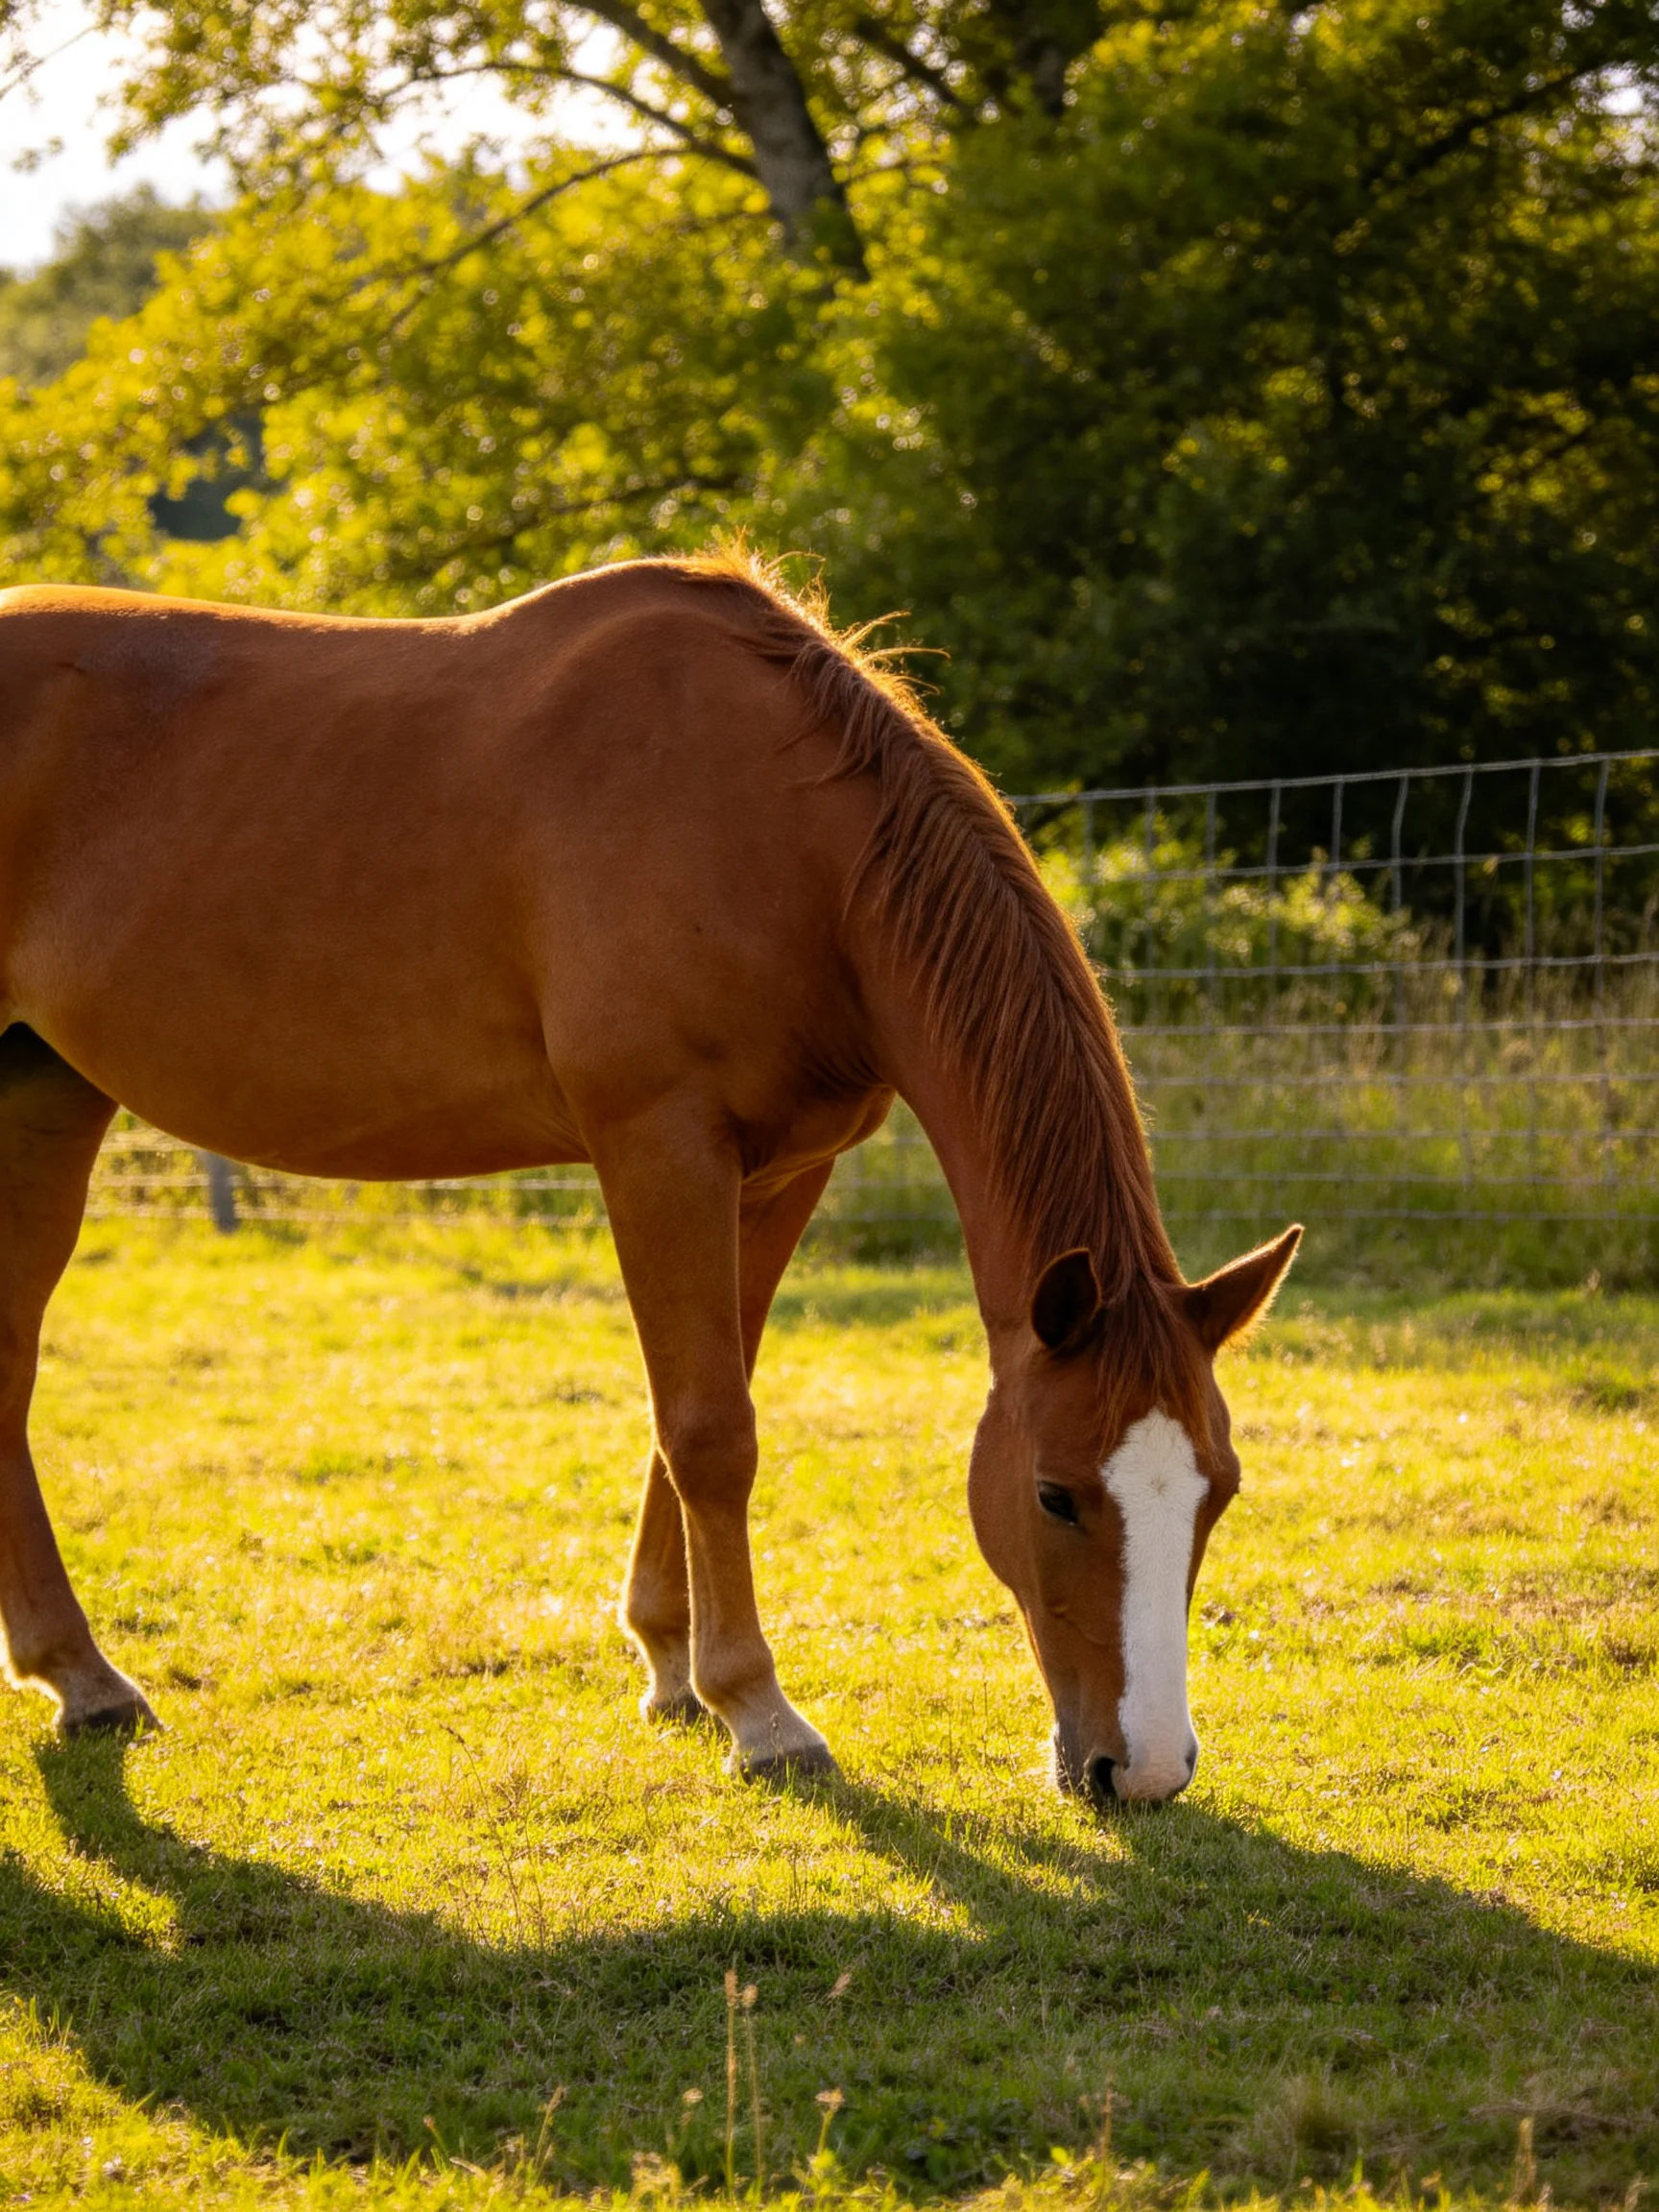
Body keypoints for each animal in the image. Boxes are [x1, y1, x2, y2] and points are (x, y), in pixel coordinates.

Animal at [0, 551, 1298, 1806]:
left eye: (1221, 1489)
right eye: (1053, 1494)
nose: (1142, 1770)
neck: (781, 833)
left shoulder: (777, 1173)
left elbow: (704, 1407)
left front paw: (674, 1664)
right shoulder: (658, 1147)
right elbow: (712, 1429)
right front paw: (759, 1713)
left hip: (49, 1095)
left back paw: (84, 1679)